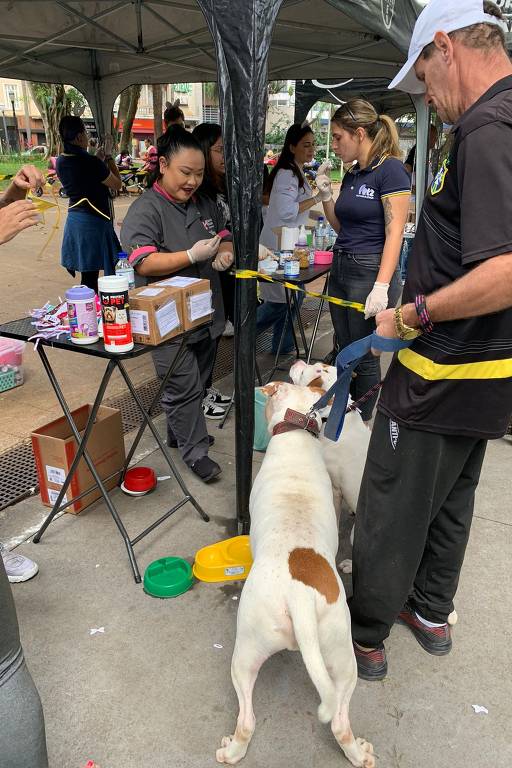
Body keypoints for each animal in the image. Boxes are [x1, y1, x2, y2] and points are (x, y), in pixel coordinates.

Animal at [217, 384, 376, 768]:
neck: (297, 432)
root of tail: (299, 596)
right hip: (341, 652)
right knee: (340, 720)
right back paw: (358, 753)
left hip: (245, 648)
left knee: (247, 718)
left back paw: (230, 750)